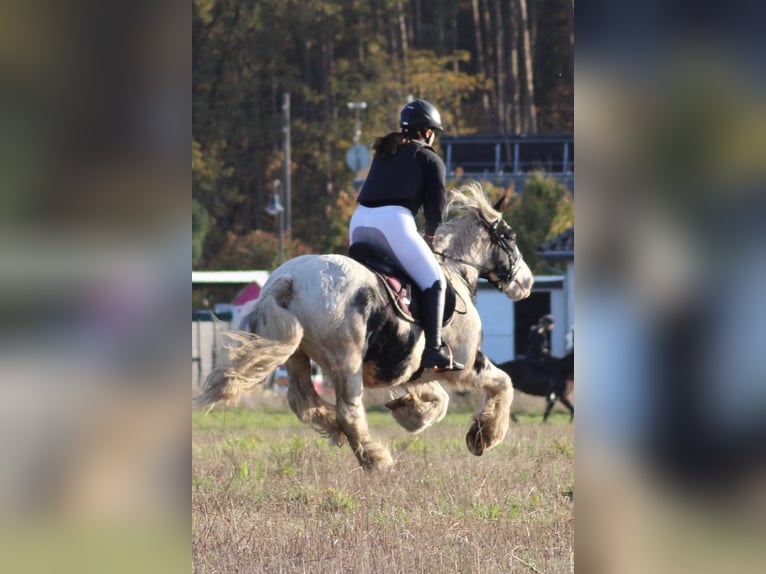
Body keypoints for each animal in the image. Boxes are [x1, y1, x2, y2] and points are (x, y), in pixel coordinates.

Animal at [195, 184, 536, 472]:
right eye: (511, 236)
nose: (527, 283)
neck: (456, 271)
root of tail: (289, 279)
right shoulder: (464, 364)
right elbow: (503, 384)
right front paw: (484, 436)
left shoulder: (415, 369)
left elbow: (440, 401)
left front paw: (410, 411)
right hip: (346, 361)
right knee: (347, 411)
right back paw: (376, 458)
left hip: (296, 355)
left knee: (304, 402)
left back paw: (338, 431)